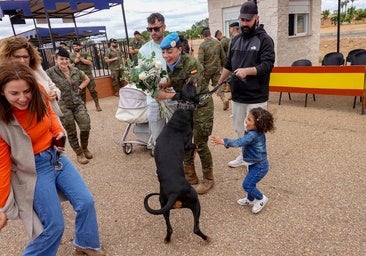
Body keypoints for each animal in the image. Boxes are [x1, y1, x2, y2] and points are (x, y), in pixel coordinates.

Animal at [144, 82, 210, 244]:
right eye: (191, 87)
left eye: (186, 86)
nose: (191, 80)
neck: (183, 109)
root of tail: (174, 193)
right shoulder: (187, 143)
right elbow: (195, 146)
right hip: (195, 201)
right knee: (196, 228)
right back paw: (206, 238)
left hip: (164, 208)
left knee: (169, 228)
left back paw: (167, 239)